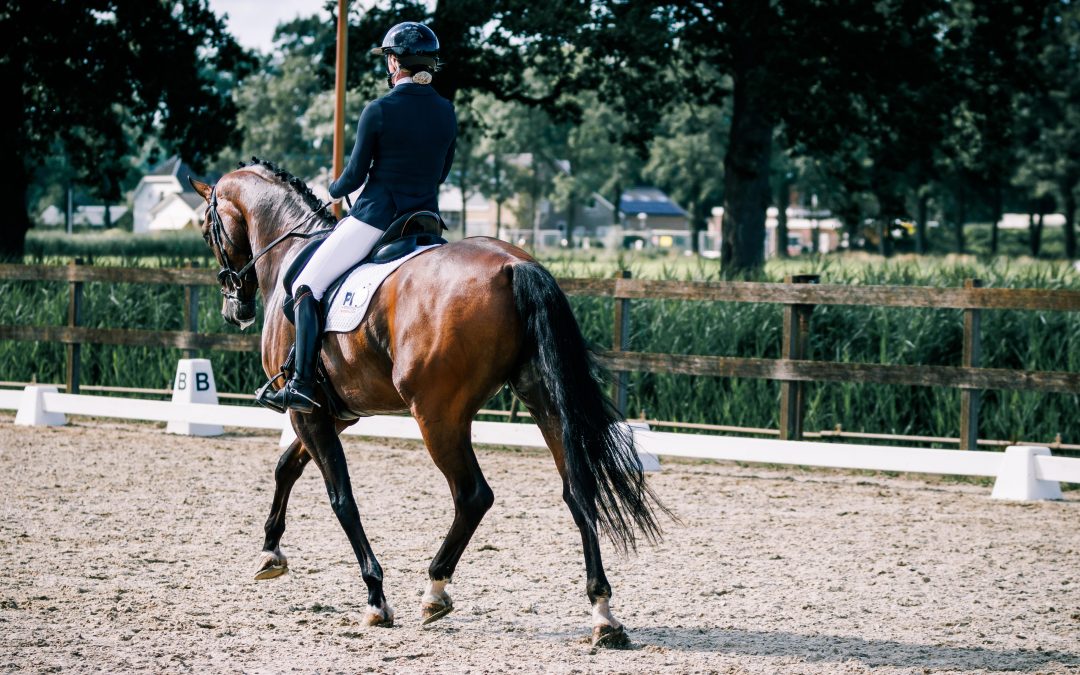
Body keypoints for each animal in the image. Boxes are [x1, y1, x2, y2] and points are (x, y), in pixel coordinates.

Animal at [190, 158, 669, 648]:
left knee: (473, 495)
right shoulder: (332, 414)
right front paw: (270, 553)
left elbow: (341, 498)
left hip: (438, 414)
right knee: (578, 489)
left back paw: (435, 590)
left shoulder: (308, 411)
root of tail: (515, 265)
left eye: (207, 230)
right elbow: (286, 466)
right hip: (542, 401)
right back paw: (602, 614)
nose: (235, 310)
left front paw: (375, 597)